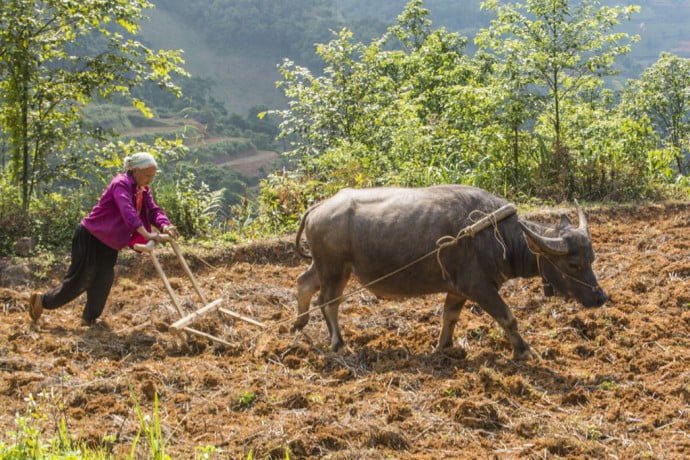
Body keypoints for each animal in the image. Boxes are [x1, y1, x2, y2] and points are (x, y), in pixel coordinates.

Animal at [292, 184, 604, 360]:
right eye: (573, 264)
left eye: (591, 258)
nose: (600, 298)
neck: (496, 236)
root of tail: (319, 207)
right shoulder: (479, 288)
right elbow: (508, 317)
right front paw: (525, 351)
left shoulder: (457, 290)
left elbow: (449, 317)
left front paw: (443, 347)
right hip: (334, 269)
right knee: (328, 302)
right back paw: (339, 344)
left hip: (325, 266)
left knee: (304, 283)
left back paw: (298, 324)